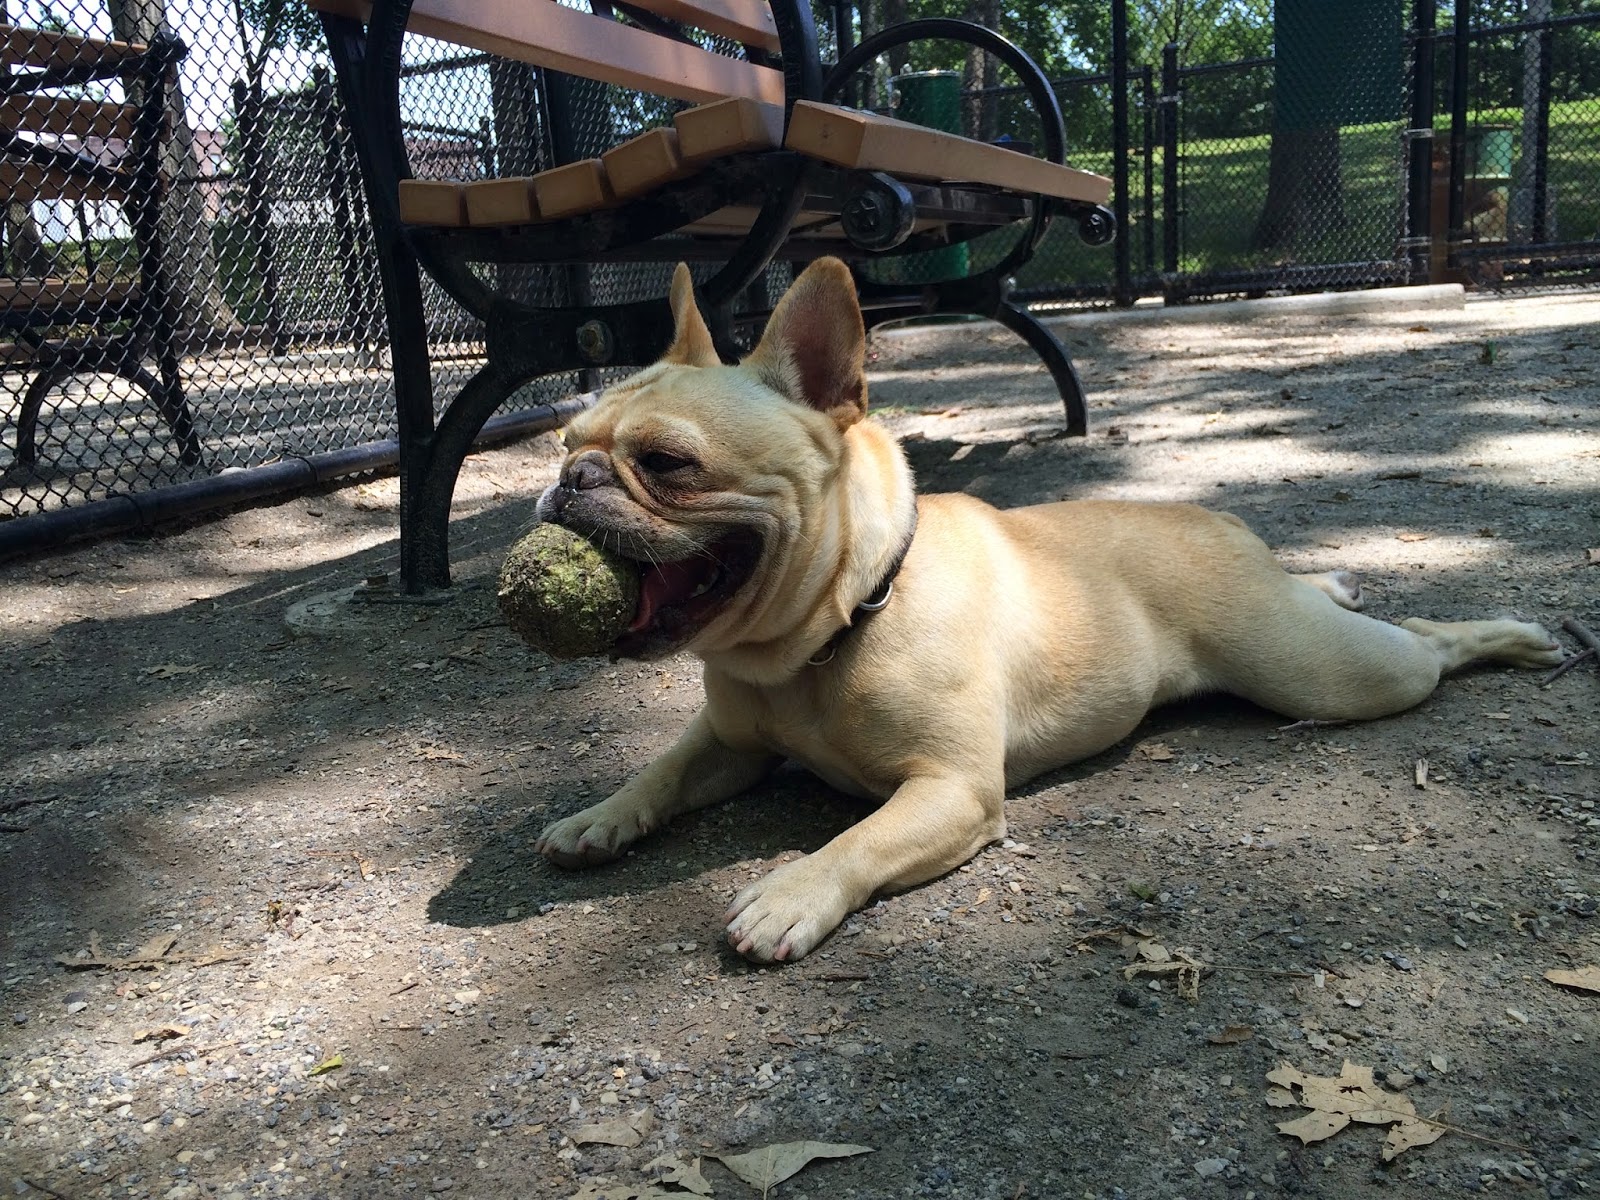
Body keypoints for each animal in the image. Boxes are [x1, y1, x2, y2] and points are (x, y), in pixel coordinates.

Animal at [531, 259, 1568, 966]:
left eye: (667, 463)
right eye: (566, 443)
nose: (570, 481)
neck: (832, 628)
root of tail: (1221, 522)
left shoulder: (952, 790)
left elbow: (856, 838)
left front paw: (792, 891)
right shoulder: (728, 743)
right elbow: (662, 770)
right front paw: (599, 818)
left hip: (1330, 674)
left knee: (1426, 645)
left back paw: (1520, 637)